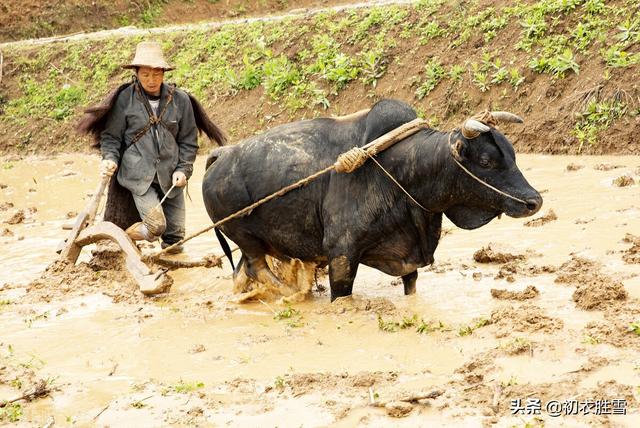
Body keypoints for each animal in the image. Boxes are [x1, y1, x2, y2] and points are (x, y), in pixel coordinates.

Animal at [202, 100, 544, 300]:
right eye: (486, 160)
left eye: (512, 154)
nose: (533, 201)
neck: (401, 171)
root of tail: (220, 156)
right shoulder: (341, 255)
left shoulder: (407, 259)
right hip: (245, 237)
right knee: (256, 268)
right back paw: (296, 295)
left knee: (242, 273)